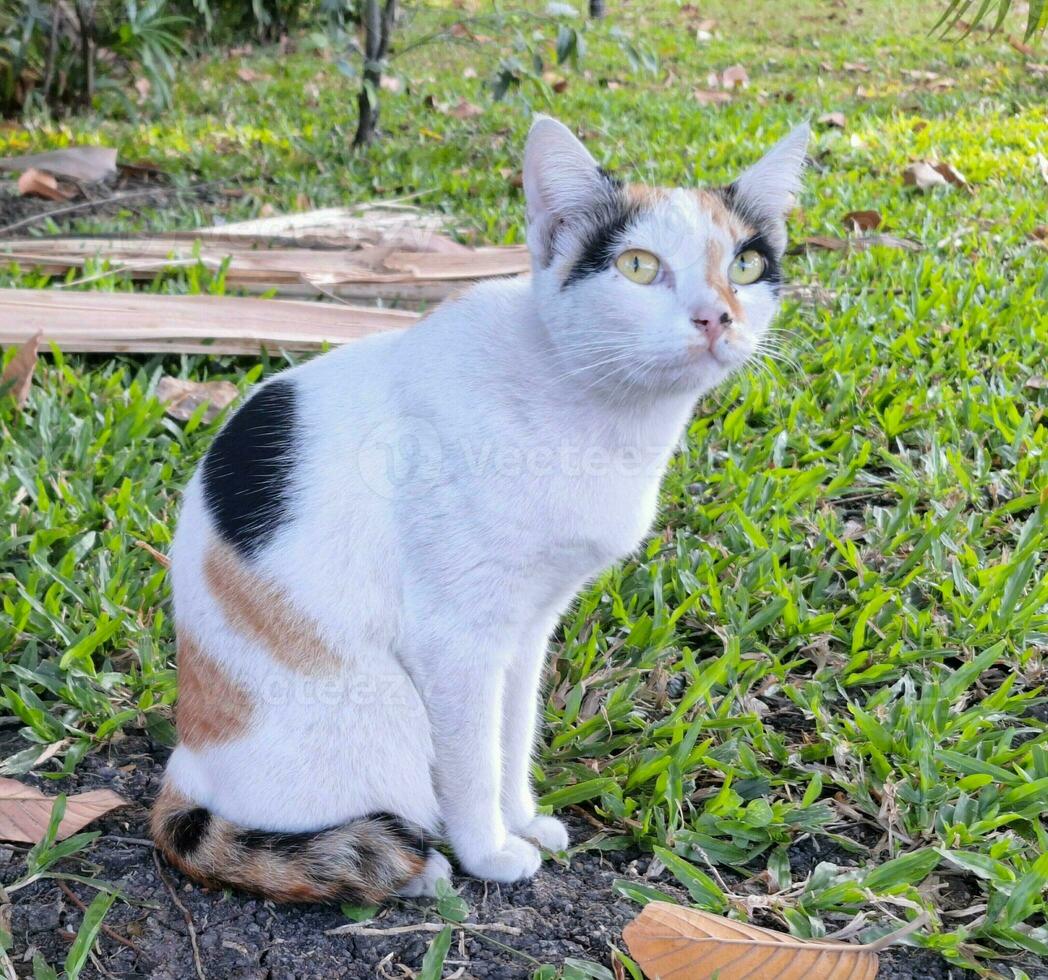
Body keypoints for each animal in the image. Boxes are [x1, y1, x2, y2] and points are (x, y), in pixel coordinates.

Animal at [149, 113, 809, 905]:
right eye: (638, 266)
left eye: (745, 266)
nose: (716, 317)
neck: (593, 412)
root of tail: (184, 762)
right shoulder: (457, 637)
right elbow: (467, 760)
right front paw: (488, 850)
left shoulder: (529, 626)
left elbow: (512, 732)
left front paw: (519, 817)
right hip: (382, 712)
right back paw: (417, 869)